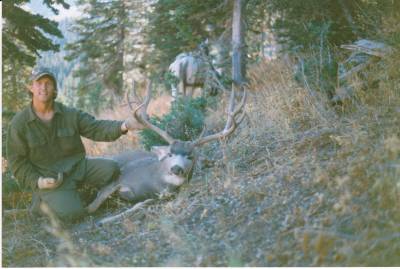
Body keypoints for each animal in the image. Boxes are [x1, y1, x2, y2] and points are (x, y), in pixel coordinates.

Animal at [86, 78, 245, 213]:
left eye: (190, 156)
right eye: (170, 154)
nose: (176, 168)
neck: (153, 180)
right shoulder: (115, 181)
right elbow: (91, 207)